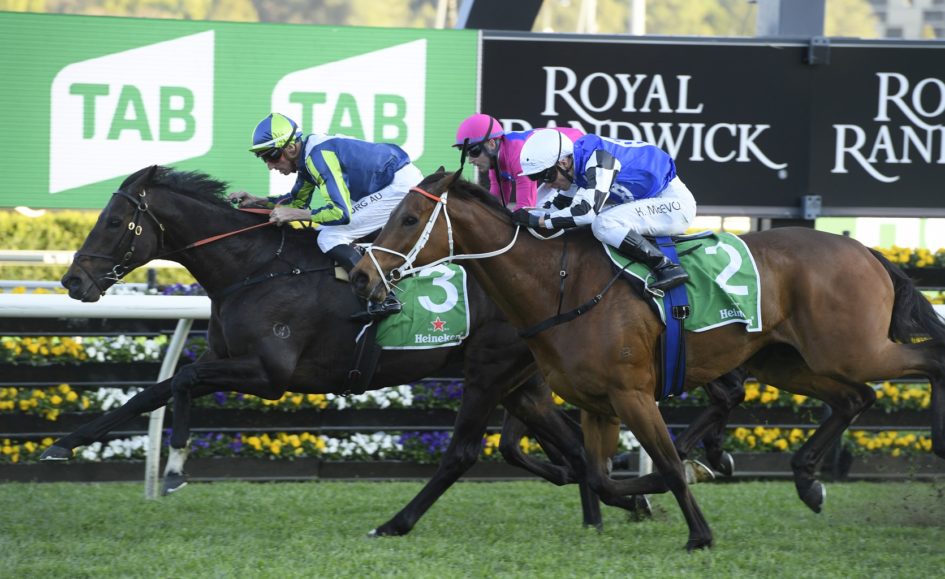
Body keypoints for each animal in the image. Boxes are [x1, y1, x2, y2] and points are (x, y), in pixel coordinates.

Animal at [350, 169, 945, 550]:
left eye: (409, 218)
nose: (358, 275)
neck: (559, 289)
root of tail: (865, 249)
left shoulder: (633, 394)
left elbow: (659, 467)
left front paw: (698, 531)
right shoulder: (597, 404)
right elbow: (601, 477)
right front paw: (670, 484)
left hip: (851, 348)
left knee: (928, 360)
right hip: (789, 360)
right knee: (855, 397)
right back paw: (807, 480)